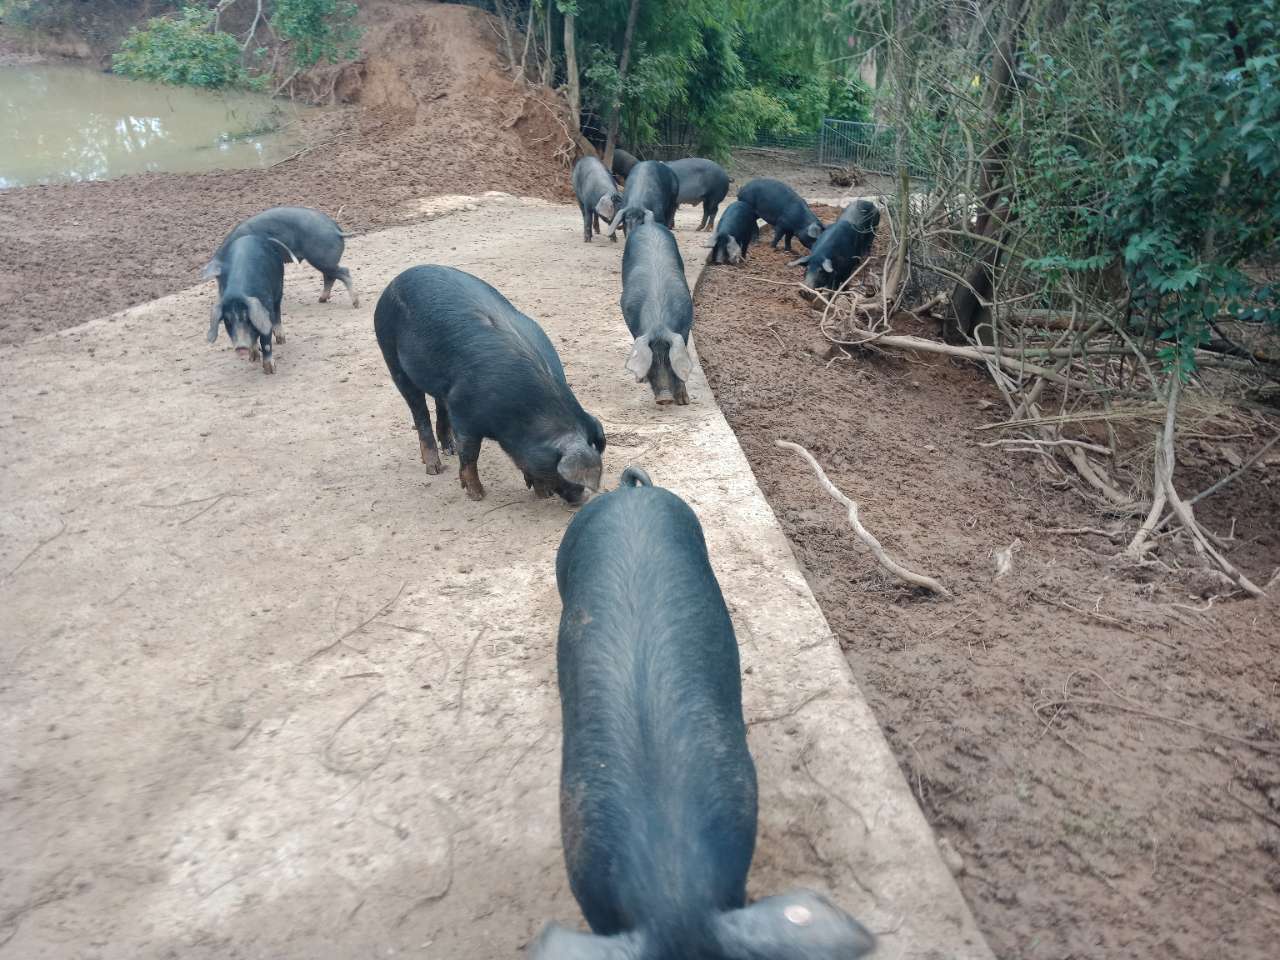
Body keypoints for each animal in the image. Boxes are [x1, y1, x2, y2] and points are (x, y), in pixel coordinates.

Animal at [203, 207, 360, 308]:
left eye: (220, 277)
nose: (222, 298)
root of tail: (336, 230)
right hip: (323, 261)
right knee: (330, 277)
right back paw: (321, 300)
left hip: (321, 259)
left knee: (344, 272)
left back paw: (355, 304)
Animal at [206, 235, 286, 378]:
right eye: (227, 321)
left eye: (247, 318)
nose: (241, 347)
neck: (237, 293)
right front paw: (253, 358)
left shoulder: (266, 312)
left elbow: (265, 341)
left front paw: (270, 371)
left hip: (279, 287)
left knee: (278, 311)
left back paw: (281, 340)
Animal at [373, 263, 604, 504]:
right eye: (561, 472)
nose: (582, 500)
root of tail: (396, 280)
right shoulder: (463, 411)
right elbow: (470, 454)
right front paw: (477, 495)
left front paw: (542, 493)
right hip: (391, 355)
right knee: (420, 413)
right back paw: (434, 468)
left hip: (439, 383)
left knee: (439, 407)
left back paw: (449, 450)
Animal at [622, 212, 696, 404]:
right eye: (652, 363)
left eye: (669, 363)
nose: (665, 397)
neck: (659, 322)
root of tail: (649, 223)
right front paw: (641, 379)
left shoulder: (685, 328)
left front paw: (684, 401)